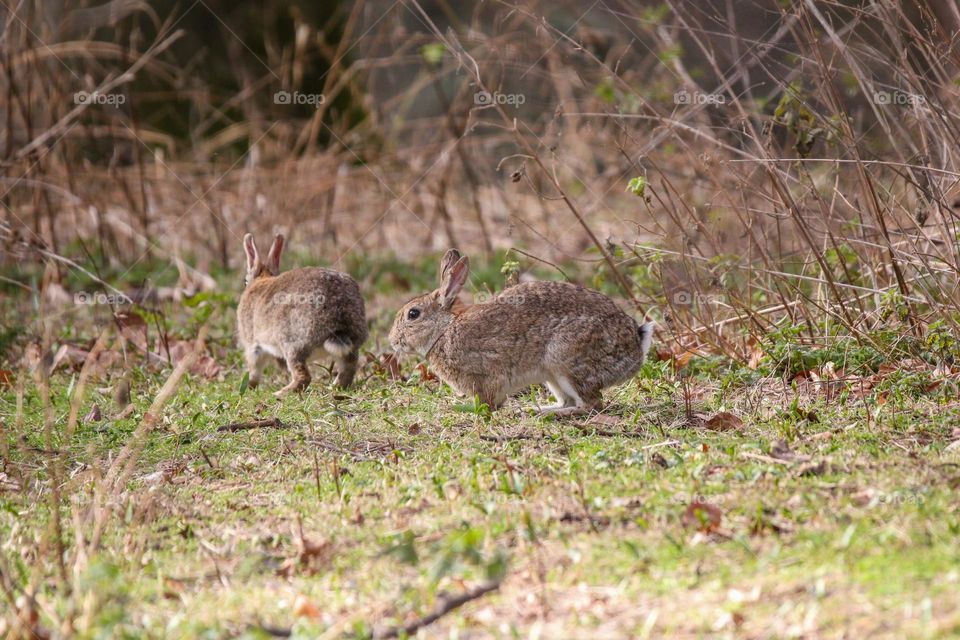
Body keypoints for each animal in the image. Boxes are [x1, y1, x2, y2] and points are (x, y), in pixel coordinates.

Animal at [237, 233, 368, 395]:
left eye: (244, 280)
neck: (262, 280)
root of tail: (340, 321)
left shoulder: (252, 345)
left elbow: (253, 369)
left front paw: (248, 387)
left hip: (292, 344)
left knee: (303, 377)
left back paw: (279, 393)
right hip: (348, 347)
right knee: (348, 369)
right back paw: (333, 388)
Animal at [389, 249, 653, 415]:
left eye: (413, 314)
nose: (392, 341)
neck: (444, 330)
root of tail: (635, 344)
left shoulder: (484, 376)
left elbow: (486, 402)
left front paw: (463, 409)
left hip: (566, 360)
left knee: (591, 404)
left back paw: (549, 415)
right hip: (552, 375)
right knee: (568, 400)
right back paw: (537, 409)